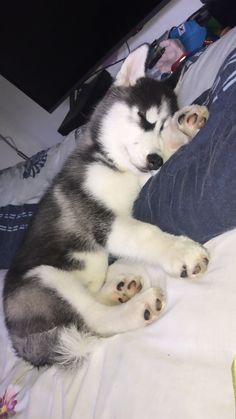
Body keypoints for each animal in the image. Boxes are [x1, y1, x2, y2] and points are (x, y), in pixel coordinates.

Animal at [3, 45, 208, 368]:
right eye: (144, 118)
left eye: (162, 124)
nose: (155, 160)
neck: (111, 162)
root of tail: (20, 344)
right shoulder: (99, 217)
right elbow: (146, 233)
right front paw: (182, 252)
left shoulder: (140, 180)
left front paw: (184, 125)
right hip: (44, 279)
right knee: (93, 319)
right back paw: (138, 306)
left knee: (93, 298)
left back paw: (118, 288)